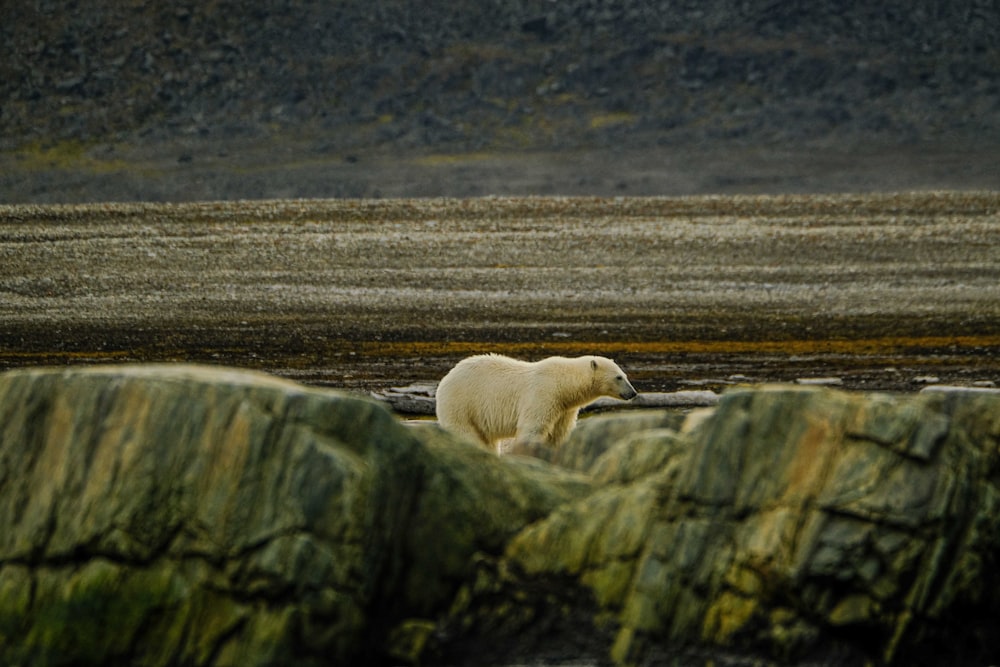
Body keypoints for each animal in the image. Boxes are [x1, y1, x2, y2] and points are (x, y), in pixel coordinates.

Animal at [434, 354, 636, 454]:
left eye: (625, 375)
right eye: (619, 377)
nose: (633, 393)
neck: (563, 383)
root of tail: (446, 378)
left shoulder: (564, 408)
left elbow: (558, 434)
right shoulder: (543, 395)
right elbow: (533, 428)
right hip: (462, 404)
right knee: (466, 433)